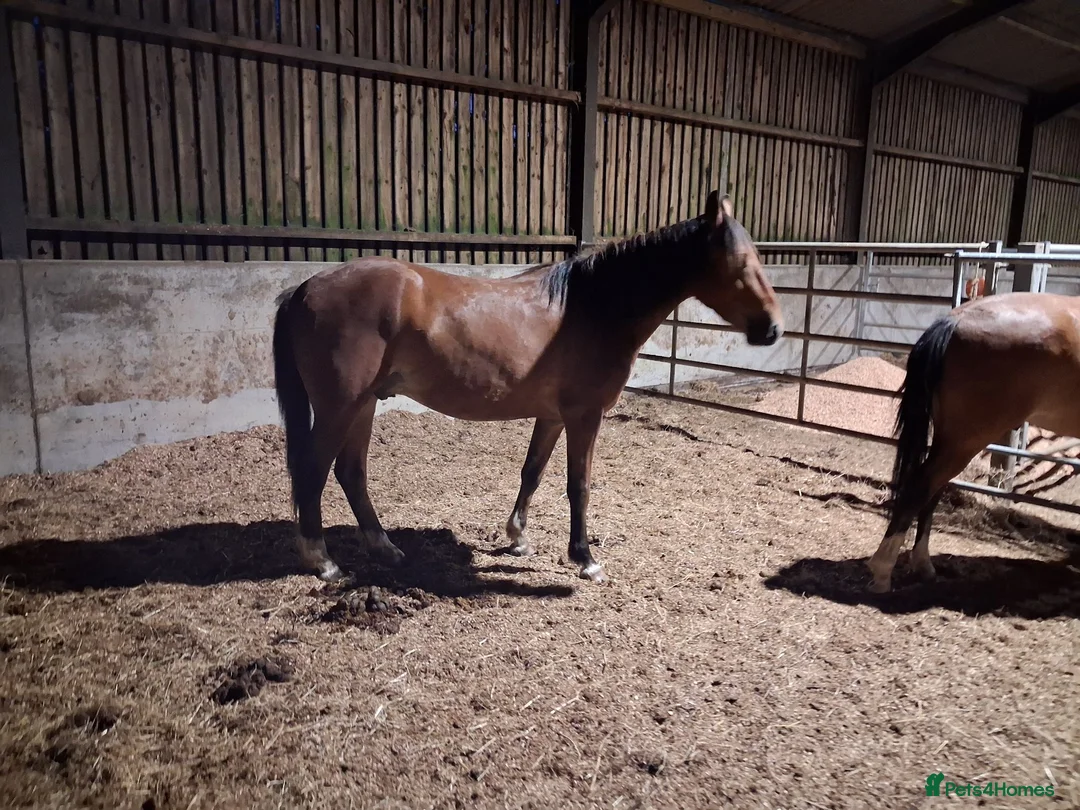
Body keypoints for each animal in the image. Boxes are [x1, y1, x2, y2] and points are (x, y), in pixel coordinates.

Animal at [272, 191, 785, 585]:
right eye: (738, 263)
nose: (774, 329)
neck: (593, 306)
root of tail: (305, 288)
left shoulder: (553, 416)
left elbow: (532, 473)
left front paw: (518, 537)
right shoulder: (584, 416)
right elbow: (579, 484)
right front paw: (586, 559)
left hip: (363, 406)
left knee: (351, 473)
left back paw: (385, 549)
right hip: (340, 408)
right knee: (315, 471)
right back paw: (323, 562)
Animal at [867, 291, 1080, 593]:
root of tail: (954, 320)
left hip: (953, 439)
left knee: (932, 490)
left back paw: (923, 565)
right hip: (966, 440)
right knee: (921, 486)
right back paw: (883, 571)